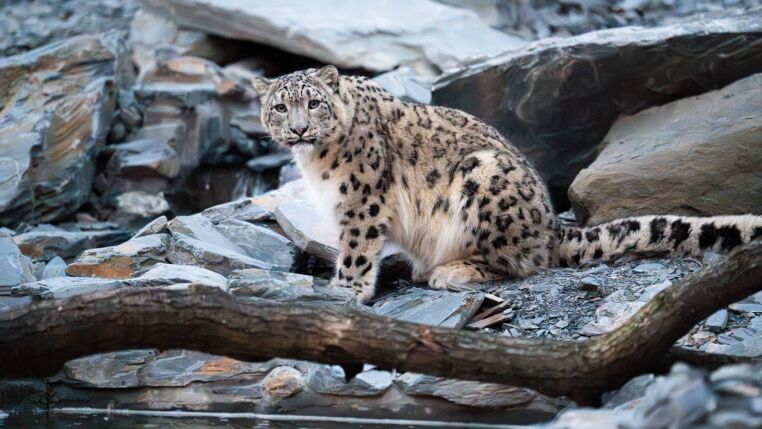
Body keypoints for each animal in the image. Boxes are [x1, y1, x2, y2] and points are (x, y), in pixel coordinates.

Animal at [254, 65, 762, 303]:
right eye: (280, 107)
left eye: (314, 103)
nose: (298, 129)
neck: (316, 162)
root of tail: (552, 226)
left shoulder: (363, 198)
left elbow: (357, 247)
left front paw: (345, 291)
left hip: (482, 179)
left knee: (519, 263)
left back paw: (449, 270)